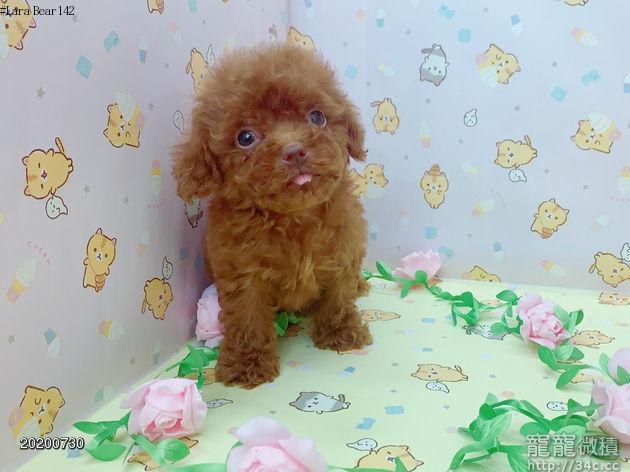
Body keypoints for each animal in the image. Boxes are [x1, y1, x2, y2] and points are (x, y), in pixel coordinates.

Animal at [172, 44, 372, 388]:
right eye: (246, 137)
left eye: (316, 117)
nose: (294, 151)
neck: (293, 219)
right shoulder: (242, 274)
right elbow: (247, 317)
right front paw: (246, 364)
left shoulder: (342, 250)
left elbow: (338, 295)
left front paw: (341, 332)